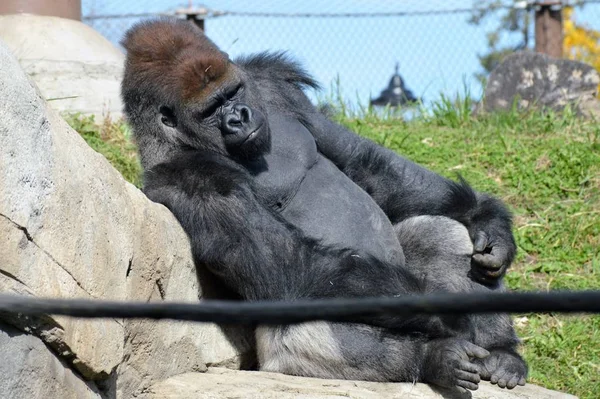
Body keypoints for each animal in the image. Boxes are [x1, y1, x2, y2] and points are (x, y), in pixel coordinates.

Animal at [120, 18, 524, 394]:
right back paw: (434, 358)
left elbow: (363, 162)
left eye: (232, 93)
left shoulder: (271, 83)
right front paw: (446, 318)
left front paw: (485, 216)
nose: (239, 117)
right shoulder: (190, 177)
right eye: (210, 111)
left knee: (440, 234)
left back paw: (502, 353)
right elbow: (293, 267)